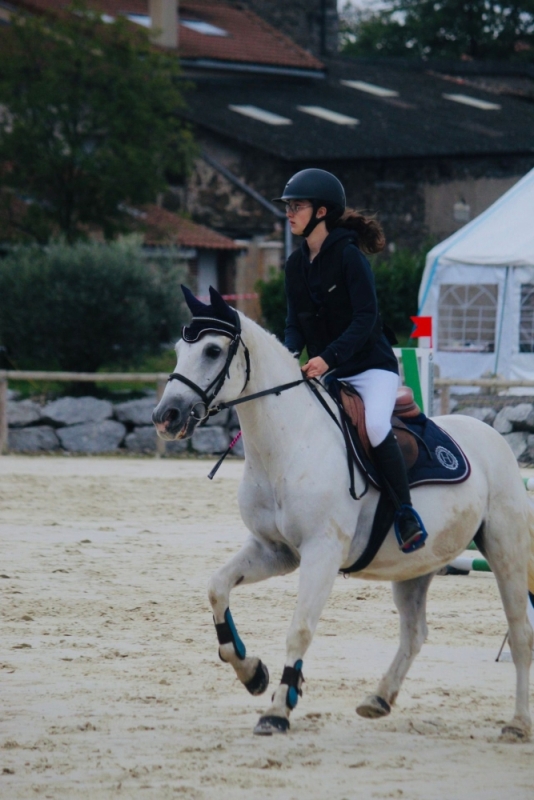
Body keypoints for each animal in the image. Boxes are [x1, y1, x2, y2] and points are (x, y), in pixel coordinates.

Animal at [152, 288, 534, 736]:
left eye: (212, 350)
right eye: (179, 350)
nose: (166, 417)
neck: (287, 443)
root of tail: (491, 435)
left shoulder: (322, 552)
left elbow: (299, 629)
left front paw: (277, 709)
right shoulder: (273, 551)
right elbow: (217, 588)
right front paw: (253, 673)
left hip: (505, 551)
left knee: (520, 631)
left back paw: (517, 723)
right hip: (417, 565)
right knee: (414, 633)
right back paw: (378, 698)